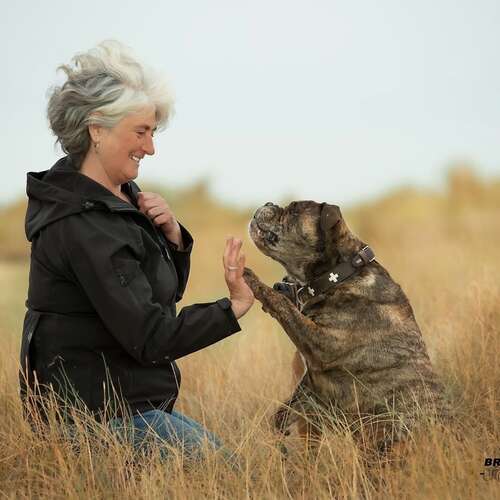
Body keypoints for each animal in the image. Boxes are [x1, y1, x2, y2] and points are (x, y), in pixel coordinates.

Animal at [244, 200, 452, 454]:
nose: (268, 203)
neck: (340, 275)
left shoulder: (321, 344)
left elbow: (283, 304)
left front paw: (251, 279)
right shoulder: (310, 385)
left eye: (294, 210)